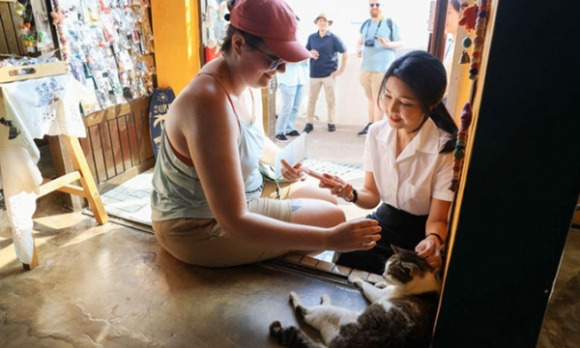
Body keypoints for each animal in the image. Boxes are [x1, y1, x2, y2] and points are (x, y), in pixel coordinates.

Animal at [270, 245, 442, 348]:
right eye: (385, 268)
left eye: (390, 272)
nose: (383, 275)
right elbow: (378, 285)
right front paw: (380, 282)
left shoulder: (379, 296)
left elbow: (366, 285)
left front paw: (356, 278)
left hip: (334, 314)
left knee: (305, 312)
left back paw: (300, 297)